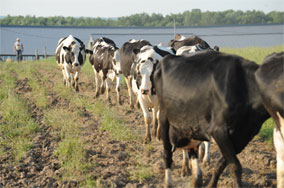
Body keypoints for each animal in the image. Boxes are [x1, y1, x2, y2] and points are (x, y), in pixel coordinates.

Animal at [153, 50, 270, 187]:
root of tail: (166, 58)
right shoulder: (219, 131)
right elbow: (235, 166)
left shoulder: (243, 137)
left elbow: (222, 164)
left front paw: (211, 184)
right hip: (164, 119)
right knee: (167, 153)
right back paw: (168, 182)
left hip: (189, 126)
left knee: (192, 151)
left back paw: (196, 179)